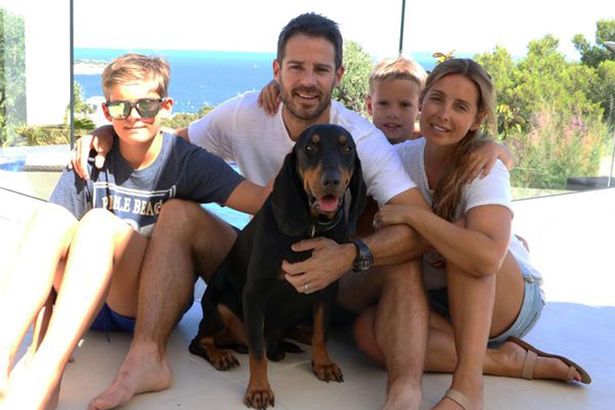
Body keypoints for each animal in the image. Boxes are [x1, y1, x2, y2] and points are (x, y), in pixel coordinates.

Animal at [190, 123, 368, 408]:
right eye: (310, 147)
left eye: (347, 148)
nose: (331, 181)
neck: (311, 227)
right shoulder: (254, 293)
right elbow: (257, 354)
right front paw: (259, 390)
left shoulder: (327, 287)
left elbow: (321, 331)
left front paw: (323, 363)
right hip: (219, 309)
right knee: (200, 341)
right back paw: (221, 355)